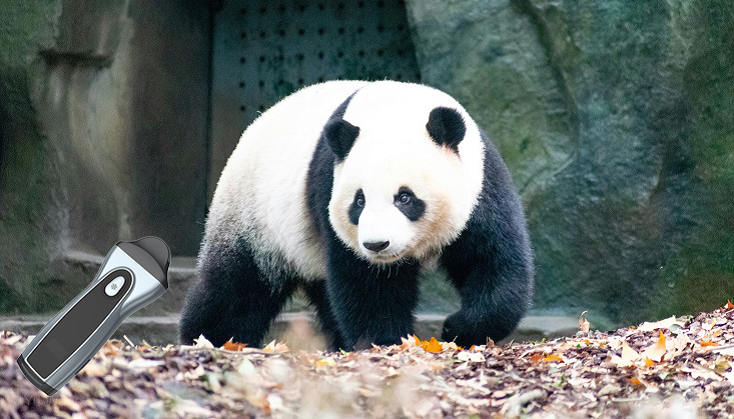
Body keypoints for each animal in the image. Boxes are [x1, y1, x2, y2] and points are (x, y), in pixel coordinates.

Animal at [179, 80, 534, 350]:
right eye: (359, 201)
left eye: (405, 197)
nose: (378, 244)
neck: (395, 109)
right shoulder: (329, 188)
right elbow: (367, 284)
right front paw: (388, 342)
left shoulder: (481, 186)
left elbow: (493, 261)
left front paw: (458, 328)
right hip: (254, 215)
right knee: (237, 285)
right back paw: (209, 338)